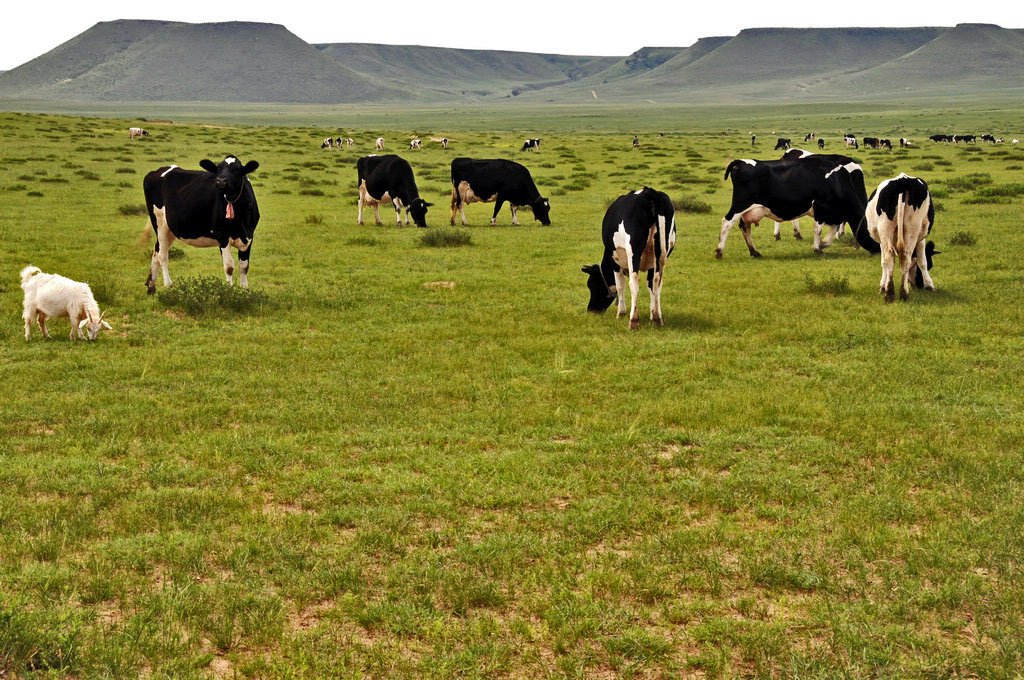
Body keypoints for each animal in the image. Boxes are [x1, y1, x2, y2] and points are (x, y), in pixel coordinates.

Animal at [144, 153, 260, 292]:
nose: (221, 181)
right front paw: (229, 291)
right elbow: (229, 266)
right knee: (162, 255)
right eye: (218, 169)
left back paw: (151, 285)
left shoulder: (249, 236)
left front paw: (244, 290)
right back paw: (168, 284)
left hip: (170, 229)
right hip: (159, 222)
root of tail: (155, 171)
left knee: (156, 251)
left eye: (237, 170)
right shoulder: (222, 235)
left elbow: (244, 266)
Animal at [581, 187, 675, 329]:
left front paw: (621, 313)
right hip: (662, 251)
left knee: (634, 282)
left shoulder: (614, 258)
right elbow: (650, 285)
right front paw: (653, 313)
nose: (591, 310)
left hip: (633, 250)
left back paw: (633, 320)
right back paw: (657, 319)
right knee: (657, 282)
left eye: (591, 284)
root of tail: (649, 192)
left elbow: (620, 285)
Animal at [712, 153, 880, 258]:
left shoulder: (833, 213)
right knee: (727, 222)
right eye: (874, 234)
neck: (836, 180)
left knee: (744, 227)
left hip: (748, 210)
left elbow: (833, 229)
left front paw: (824, 244)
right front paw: (818, 248)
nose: (878, 250)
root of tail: (740, 162)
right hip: (740, 204)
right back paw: (720, 251)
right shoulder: (821, 208)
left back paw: (755, 252)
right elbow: (818, 230)